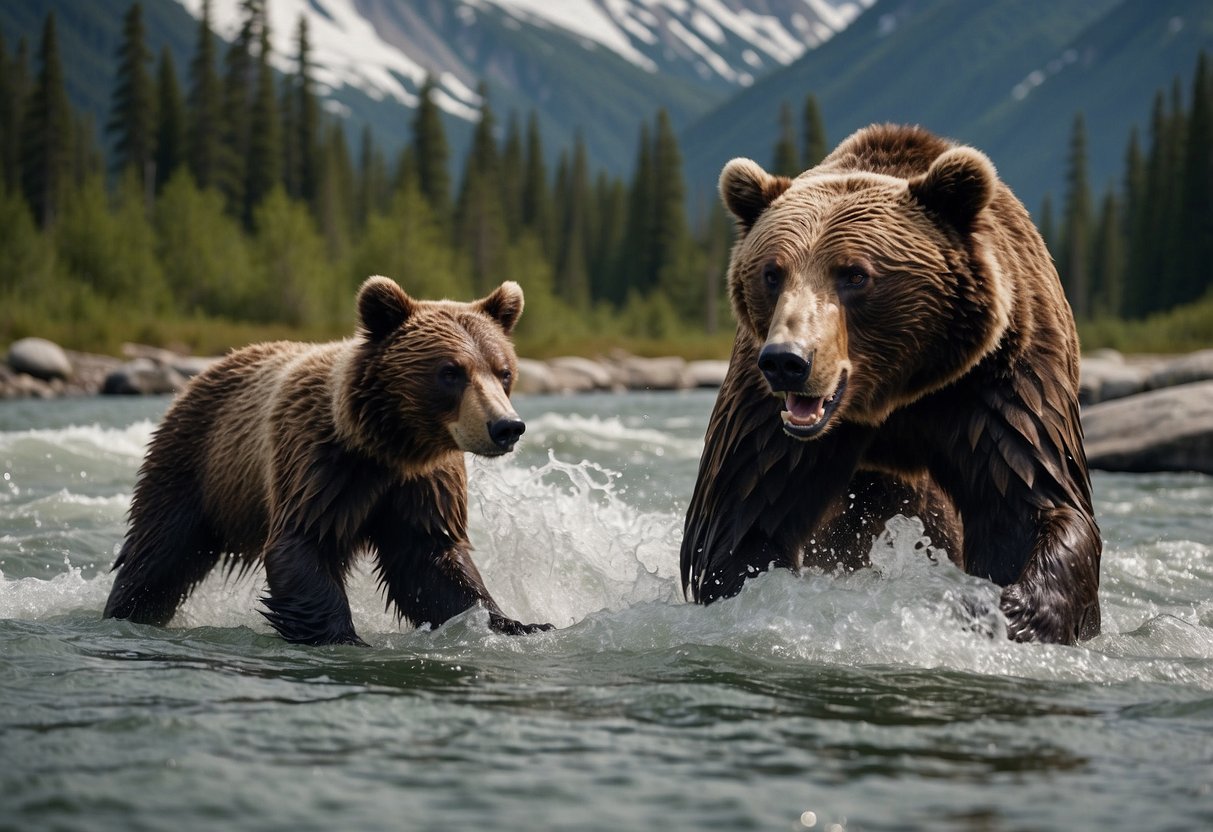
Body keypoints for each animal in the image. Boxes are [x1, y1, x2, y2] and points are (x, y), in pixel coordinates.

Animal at [104, 276, 550, 650]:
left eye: (503, 371)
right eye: (451, 372)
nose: (506, 427)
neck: (390, 444)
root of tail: (207, 369)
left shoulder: (424, 483)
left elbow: (432, 561)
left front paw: (518, 623)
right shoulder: (319, 464)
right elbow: (303, 543)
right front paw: (344, 637)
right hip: (197, 461)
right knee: (158, 551)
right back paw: (124, 612)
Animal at [684, 122, 1101, 645]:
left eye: (855, 274)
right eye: (772, 272)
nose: (786, 361)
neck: (894, 394)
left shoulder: (998, 381)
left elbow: (1031, 496)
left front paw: (1013, 611)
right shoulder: (765, 418)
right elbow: (740, 520)